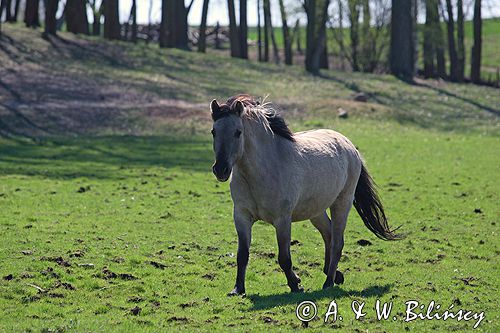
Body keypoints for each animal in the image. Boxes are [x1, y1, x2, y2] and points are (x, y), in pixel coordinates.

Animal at [209, 94, 400, 294]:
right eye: (214, 132)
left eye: (238, 132)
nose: (221, 169)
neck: (264, 170)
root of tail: (348, 145)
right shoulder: (241, 217)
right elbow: (242, 254)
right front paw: (238, 289)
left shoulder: (282, 220)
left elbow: (284, 258)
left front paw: (295, 285)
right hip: (316, 211)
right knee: (328, 234)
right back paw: (334, 274)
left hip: (342, 203)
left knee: (337, 242)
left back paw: (329, 282)